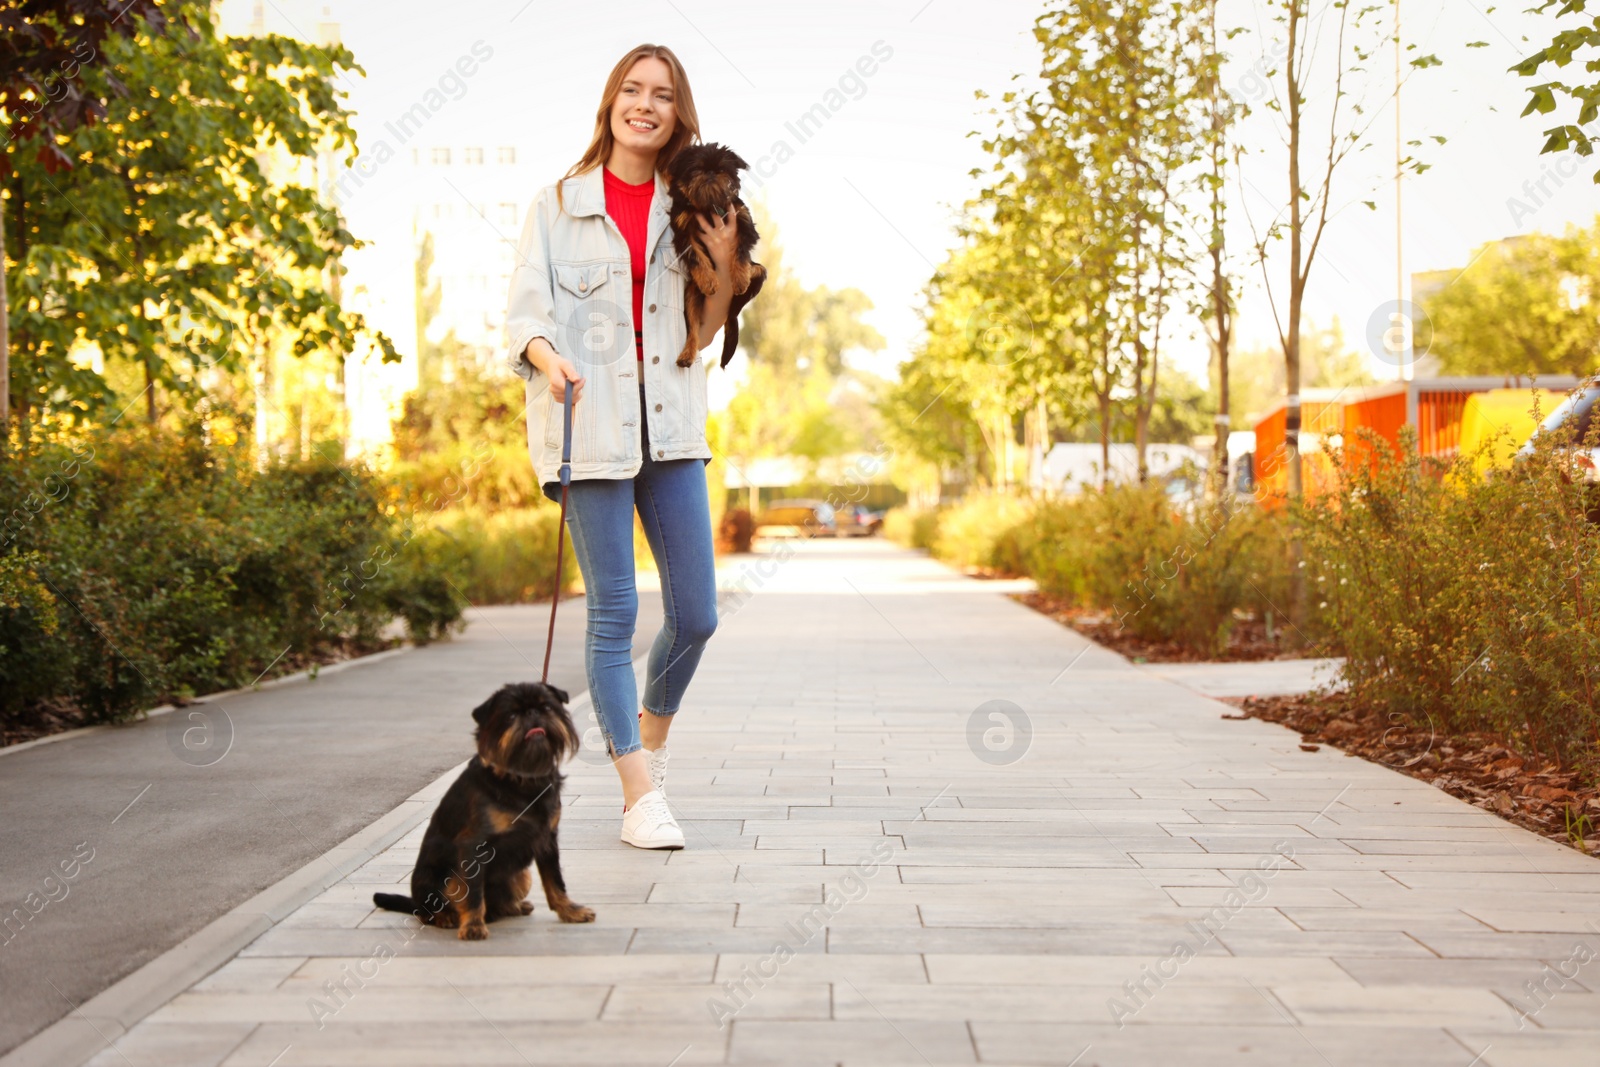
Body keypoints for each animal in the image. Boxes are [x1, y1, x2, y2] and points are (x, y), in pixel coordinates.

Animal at [372, 681, 595, 940]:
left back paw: (515, 907)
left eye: (547, 707)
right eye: (511, 716)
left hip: (523, 875)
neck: (523, 780)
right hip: (442, 880)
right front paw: (473, 926)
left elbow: (555, 880)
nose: (533, 713)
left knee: (503, 902)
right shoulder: (474, 847)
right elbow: (474, 892)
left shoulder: (547, 841)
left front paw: (570, 911)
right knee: (425, 912)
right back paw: (446, 916)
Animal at [659, 141, 764, 369]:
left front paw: (740, 278)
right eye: (696, 169)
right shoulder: (684, 234)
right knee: (693, 330)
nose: (710, 173)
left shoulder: (743, 222)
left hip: (760, 272)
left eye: (722, 169)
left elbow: (740, 251)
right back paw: (686, 355)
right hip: (691, 295)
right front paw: (709, 281)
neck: (707, 207)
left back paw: (746, 276)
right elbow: (696, 258)